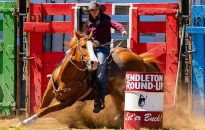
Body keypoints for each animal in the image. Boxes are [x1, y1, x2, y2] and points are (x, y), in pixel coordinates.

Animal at [17, 31, 160, 128]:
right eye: (83, 46)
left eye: (94, 47)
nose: (94, 62)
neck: (66, 77)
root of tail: (139, 58)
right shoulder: (49, 92)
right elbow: (41, 108)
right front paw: (28, 120)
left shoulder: (67, 102)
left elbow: (46, 110)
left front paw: (25, 122)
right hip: (116, 93)